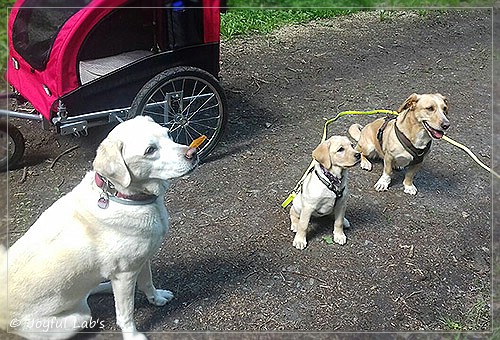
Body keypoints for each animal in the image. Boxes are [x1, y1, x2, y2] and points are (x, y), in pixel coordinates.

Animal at [0, 115, 199, 338]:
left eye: (169, 134)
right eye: (150, 150)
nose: (193, 153)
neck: (123, 197)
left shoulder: (141, 260)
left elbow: (147, 282)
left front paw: (156, 298)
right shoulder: (125, 273)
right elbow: (125, 314)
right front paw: (132, 335)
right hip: (78, 318)